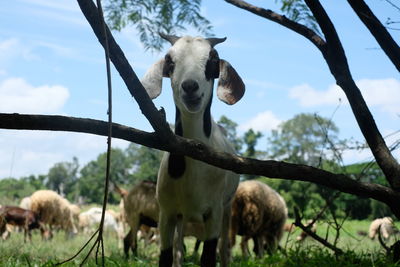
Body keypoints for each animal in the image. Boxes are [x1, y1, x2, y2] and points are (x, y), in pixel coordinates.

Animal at [142, 33, 245, 267]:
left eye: (213, 59)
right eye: (169, 60)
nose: (190, 86)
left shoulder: (214, 212)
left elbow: (208, 257)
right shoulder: (167, 213)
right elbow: (166, 256)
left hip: (227, 208)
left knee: (224, 248)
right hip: (182, 217)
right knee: (179, 250)